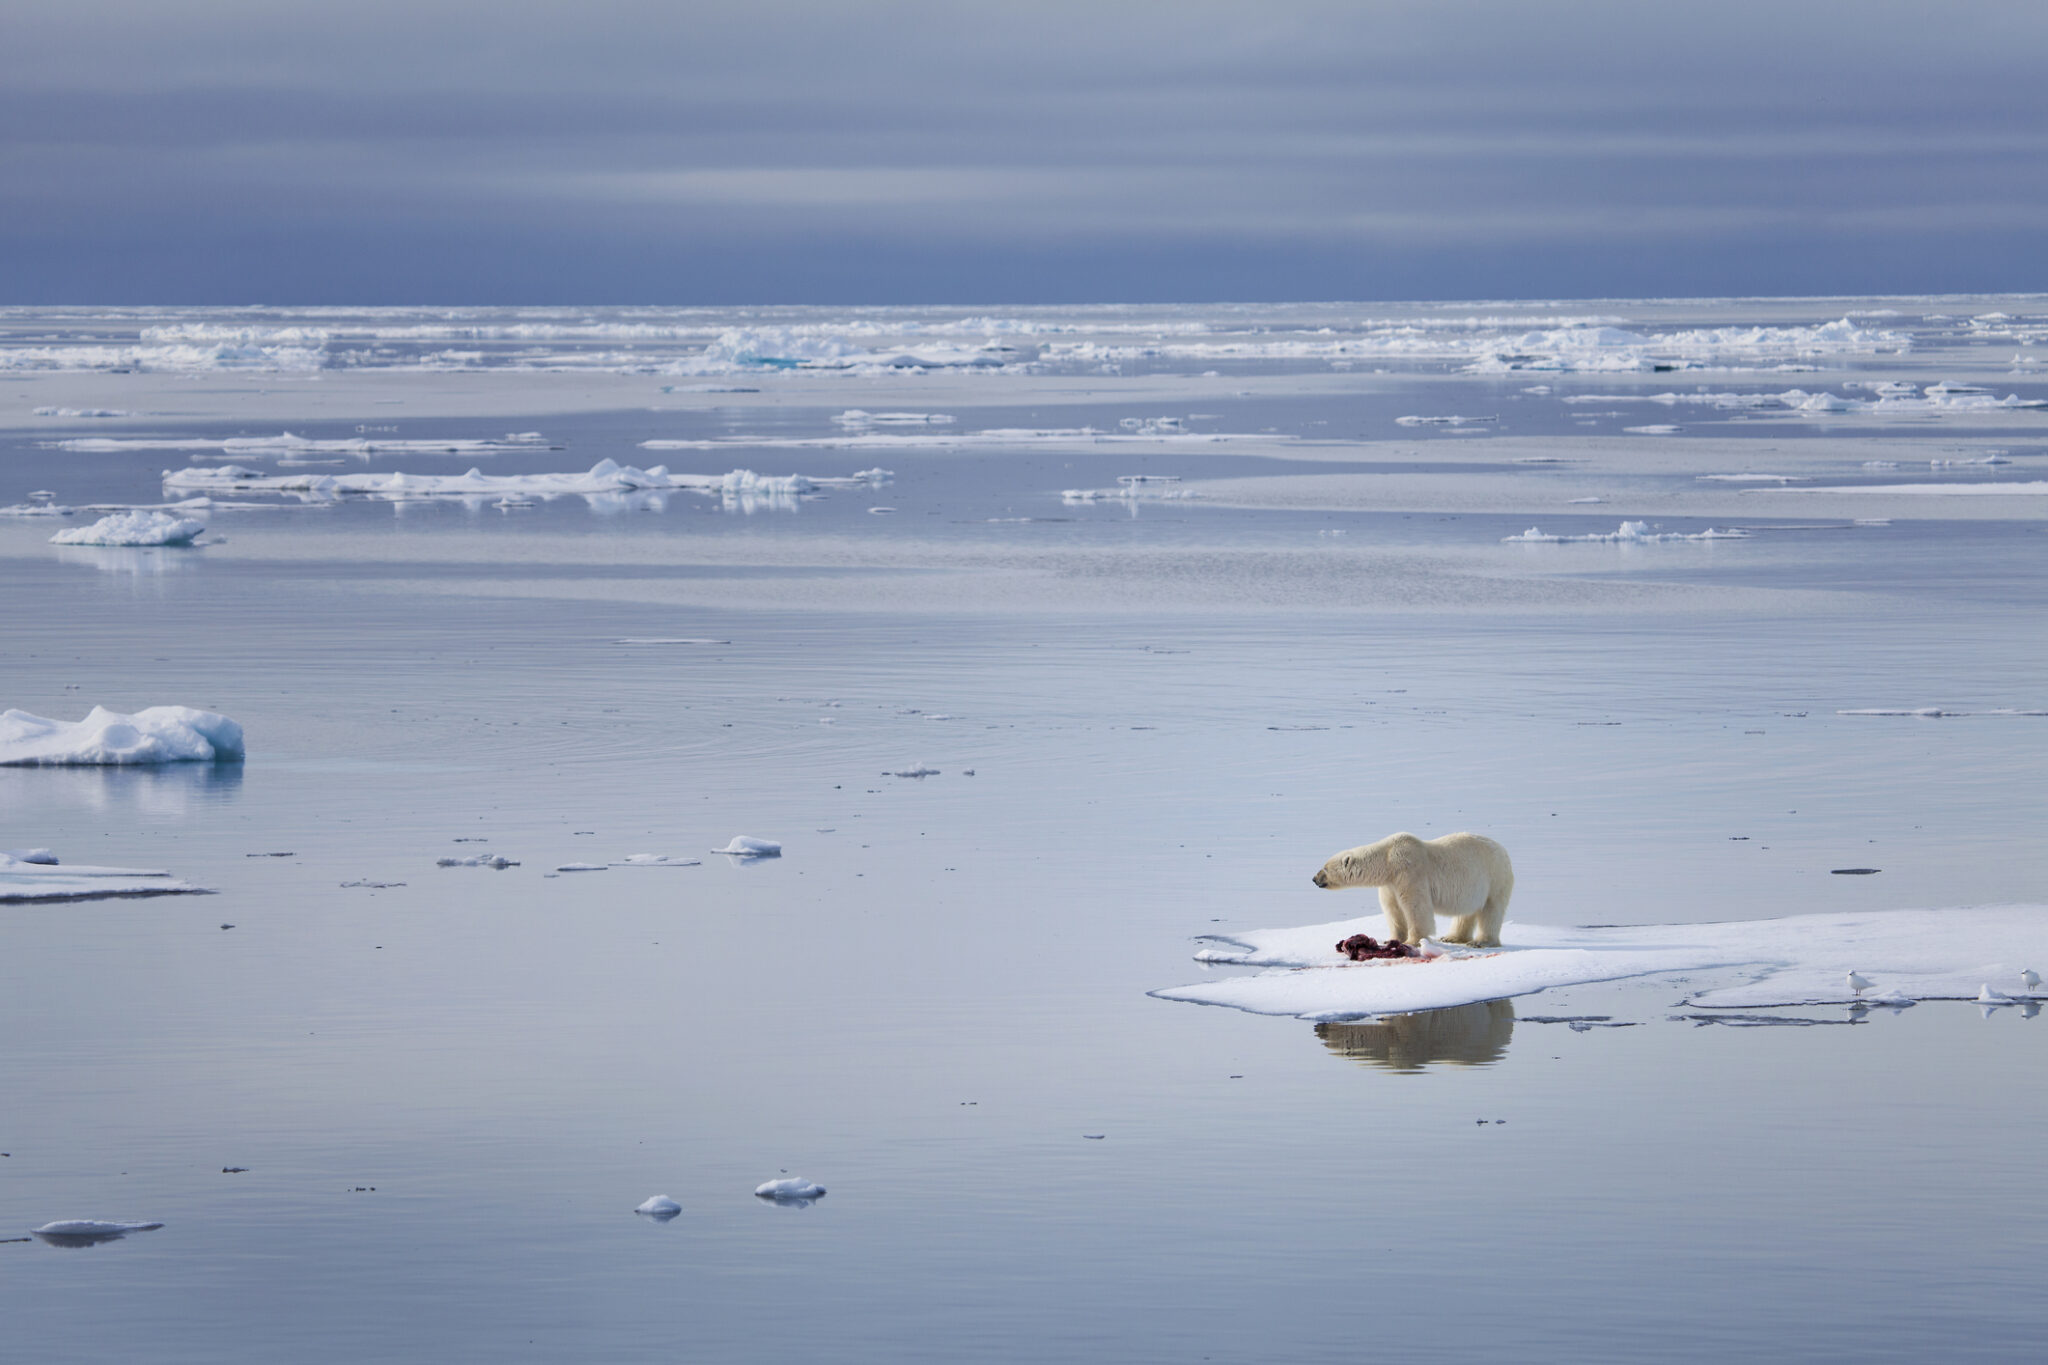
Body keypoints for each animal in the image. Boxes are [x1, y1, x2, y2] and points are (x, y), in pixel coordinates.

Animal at [1310, 834, 1507, 949]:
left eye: (1324, 868)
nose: (1314, 878)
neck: (1387, 859)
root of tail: (1503, 849)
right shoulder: (1389, 883)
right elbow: (1393, 909)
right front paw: (1391, 939)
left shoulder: (1409, 871)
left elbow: (1415, 906)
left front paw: (1413, 941)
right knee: (1467, 912)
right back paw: (1452, 938)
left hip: (1494, 877)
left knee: (1491, 910)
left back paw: (1481, 941)